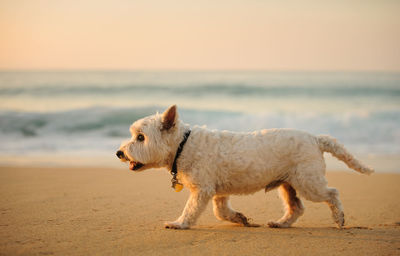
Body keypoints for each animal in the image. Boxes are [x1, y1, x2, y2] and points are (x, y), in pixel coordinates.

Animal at [117, 105, 374, 229]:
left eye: (140, 137)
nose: (119, 153)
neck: (183, 144)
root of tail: (315, 138)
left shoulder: (202, 190)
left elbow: (191, 209)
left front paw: (179, 223)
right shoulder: (218, 192)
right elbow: (220, 211)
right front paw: (240, 218)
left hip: (308, 182)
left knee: (332, 193)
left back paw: (339, 218)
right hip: (288, 183)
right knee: (296, 208)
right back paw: (280, 223)